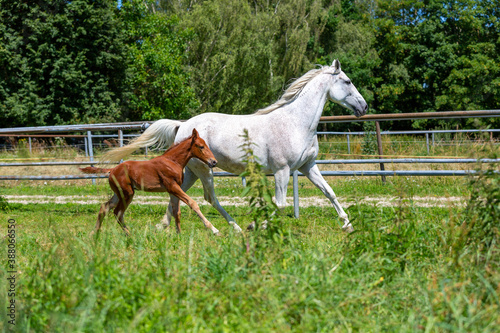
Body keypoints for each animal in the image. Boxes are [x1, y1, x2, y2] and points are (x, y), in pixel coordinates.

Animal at [81, 128, 220, 235]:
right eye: (201, 146)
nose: (214, 162)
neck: (173, 162)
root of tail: (112, 170)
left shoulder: (174, 189)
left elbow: (177, 211)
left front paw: (179, 234)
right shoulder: (172, 187)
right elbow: (192, 203)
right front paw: (213, 229)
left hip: (119, 193)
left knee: (104, 207)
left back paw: (94, 232)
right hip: (127, 194)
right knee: (117, 212)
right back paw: (129, 234)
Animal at [104, 60, 368, 233]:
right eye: (347, 81)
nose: (364, 107)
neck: (295, 122)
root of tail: (182, 126)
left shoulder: (307, 166)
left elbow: (329, 192)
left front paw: (347, 224)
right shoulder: (282, 171)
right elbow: (280, 203)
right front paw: (256, 225)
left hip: (188, 172)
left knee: (176, 196)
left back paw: (164, 226)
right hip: (204, 170)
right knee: (209, 198)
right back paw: (234, 227)